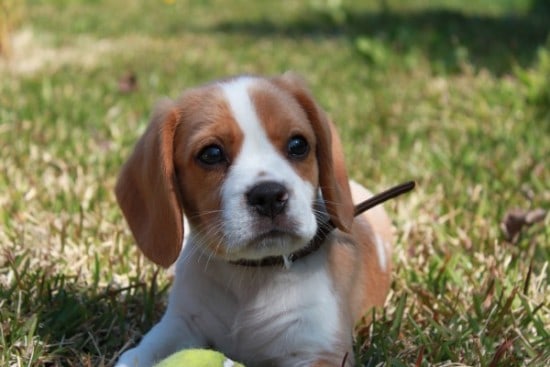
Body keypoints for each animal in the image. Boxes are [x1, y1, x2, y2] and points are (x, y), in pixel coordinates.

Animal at [115, 73, 392, 366]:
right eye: (211, 154)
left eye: (298, 145)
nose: (269, 196)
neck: (252, 276)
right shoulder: (179, 323)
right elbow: (135, 356)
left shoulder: (321, 351)